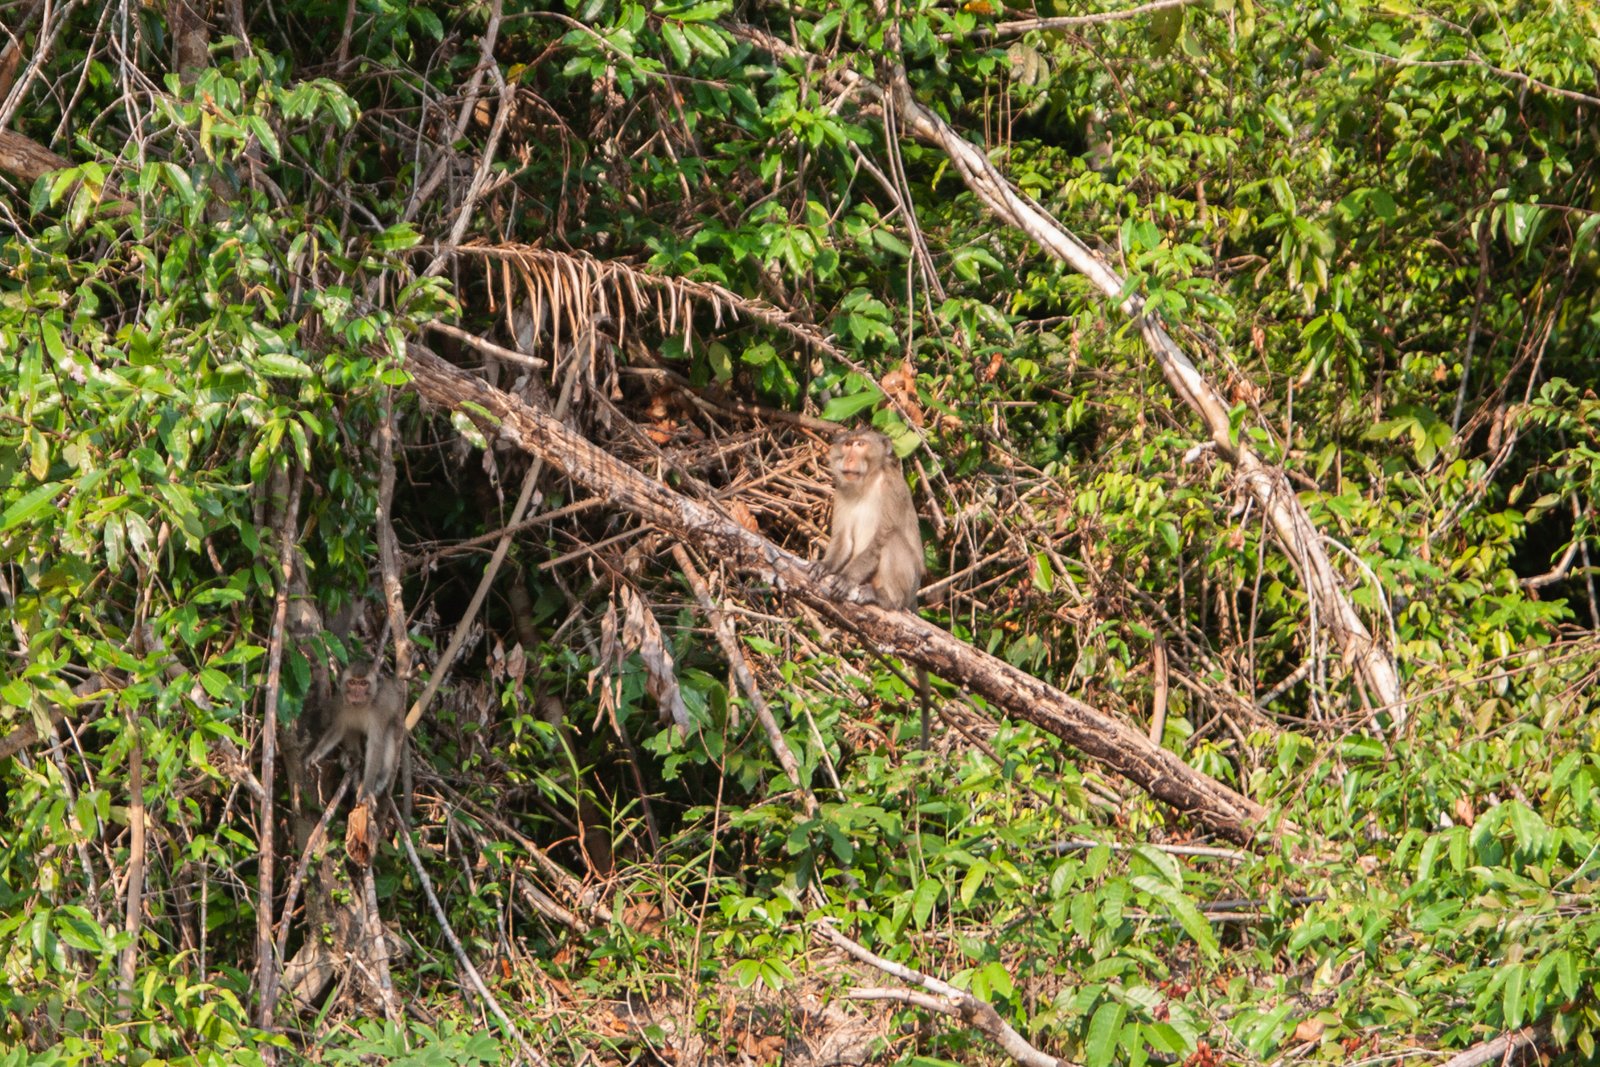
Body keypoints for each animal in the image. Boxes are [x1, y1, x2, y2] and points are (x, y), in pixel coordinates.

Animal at [819, 428, 934, 751]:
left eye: (860, 444)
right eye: (847, 444)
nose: (848, 457)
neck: (866, 483)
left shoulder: (892, 488)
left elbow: (881, 539)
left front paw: (846, 579)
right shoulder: (841, 492)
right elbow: (843, 540)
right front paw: (826, 567)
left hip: (907, 583)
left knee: (893, 539)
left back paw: (883, 598)